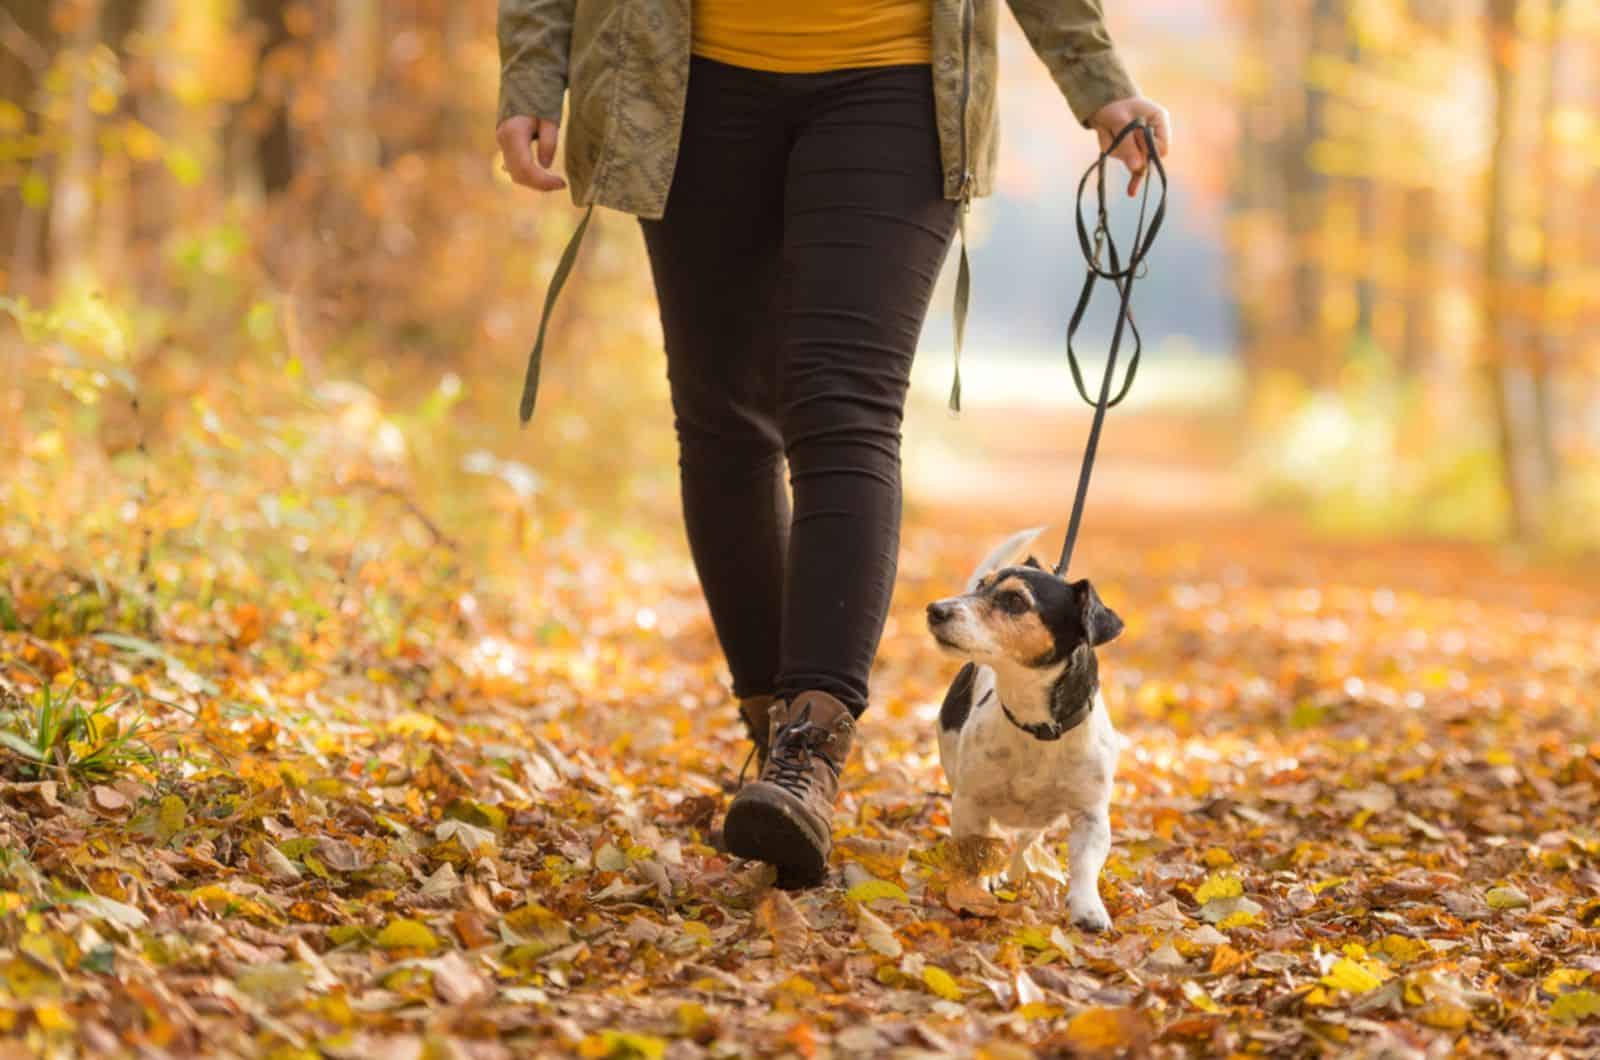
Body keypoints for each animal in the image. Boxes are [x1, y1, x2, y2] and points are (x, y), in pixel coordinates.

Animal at [928, 528, 1126, 928]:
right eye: (981, 586)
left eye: (1015, 600)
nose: (935, 609)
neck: (1036, 728)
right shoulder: (970, 804)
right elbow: (975, 853)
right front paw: (974, 894)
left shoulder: (1091, 816)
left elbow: (1084, 865)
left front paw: (1088, 908)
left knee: (1026, 841)